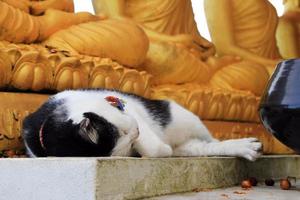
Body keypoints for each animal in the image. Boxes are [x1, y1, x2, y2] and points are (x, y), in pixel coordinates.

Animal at [22, 89, 262, 161]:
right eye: (126, 139)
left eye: (127, 130)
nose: (136, 131)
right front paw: (162, 150)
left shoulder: (129, 110)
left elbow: (150, 141)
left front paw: (160, 148)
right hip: (191, 145)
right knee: (207, 147)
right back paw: (244, 147)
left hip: (187, 119)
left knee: (211, 140)